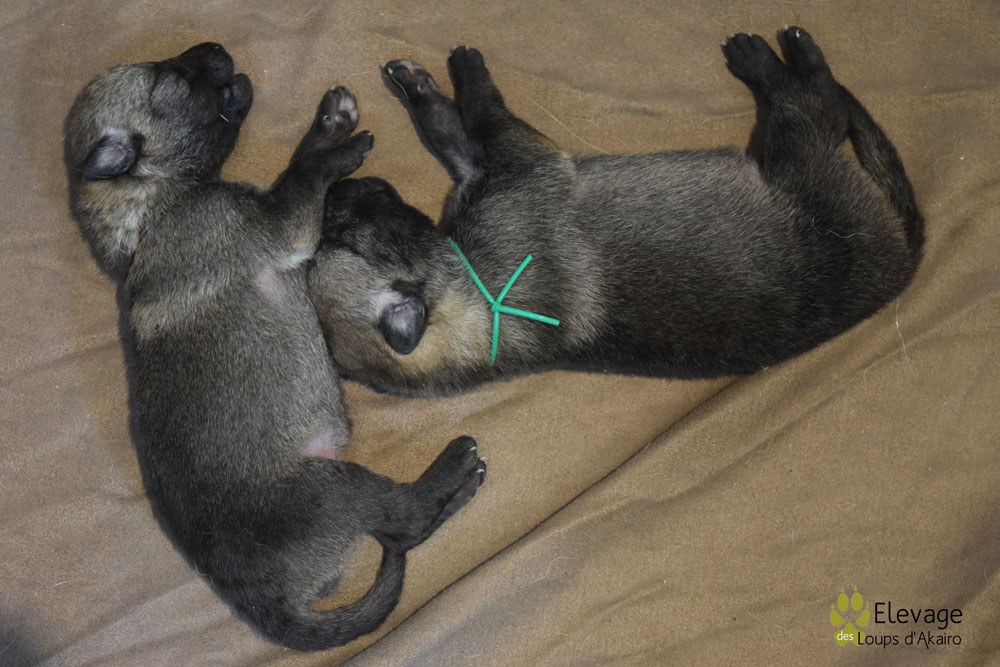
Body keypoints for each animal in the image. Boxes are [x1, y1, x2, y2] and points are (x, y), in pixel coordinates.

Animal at [63, 42, 485, 651]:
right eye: (170, 77)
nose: (216, 48)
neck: (155, 207)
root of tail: (264, 603)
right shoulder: (281, 223)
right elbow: (302, 177)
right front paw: (343, 150)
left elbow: (299, 164)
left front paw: (330, 123)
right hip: (334, 486)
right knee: (403, 522)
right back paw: (455, 474)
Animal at [307, 27, 923, 397]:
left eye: (339, 235)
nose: (335, 194)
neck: (473, 300)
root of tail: (902, 260)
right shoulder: (522, 160)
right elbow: (482, 109)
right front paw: (466, 69)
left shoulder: (487, 165)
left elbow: (451, 126)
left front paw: (418, 83)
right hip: (796, 151)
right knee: (815, 103)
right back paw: (770, 56)